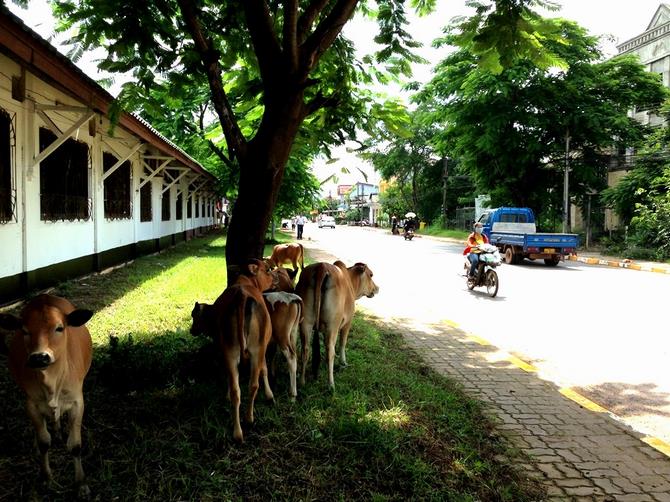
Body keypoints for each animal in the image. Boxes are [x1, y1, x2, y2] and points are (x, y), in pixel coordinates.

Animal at [0, 294, 94, 498]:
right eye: (24, 331)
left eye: (59, 328)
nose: (39, 357)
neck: (51, 383)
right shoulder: (31, 404)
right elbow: (44, 442)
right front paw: (45, 478)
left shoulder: (77, 402)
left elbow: (75, 445)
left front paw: (81, 483)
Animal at [192, 258, 278, 444]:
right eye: (268, 269)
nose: (276, 276)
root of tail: (241, 296)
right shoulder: (263, 347)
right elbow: (264, 369)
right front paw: (269, 395)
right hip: (254, 349)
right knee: (250, 385)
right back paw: (248, 420)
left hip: (230, 351)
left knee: (237, 389)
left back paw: (238, 432)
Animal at [296, 260, 380, 390]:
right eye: (371, 275)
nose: (377, 288)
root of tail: (321, 266)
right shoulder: (347, 323)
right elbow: (342, 343)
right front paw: (343, 362)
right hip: (332, 326)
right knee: (330, 351)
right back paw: (331, 384)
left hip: (306, 323)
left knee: (305, 350)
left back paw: (302, 382)